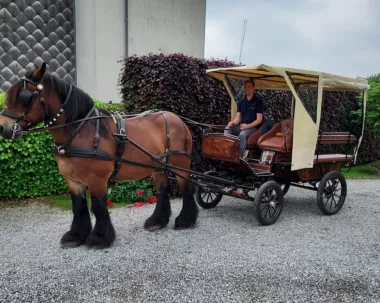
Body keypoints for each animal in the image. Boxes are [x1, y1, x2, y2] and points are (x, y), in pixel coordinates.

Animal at [1, 63, 199, 251]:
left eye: (24, 96)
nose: (3, 127)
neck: (81, 130)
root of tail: (177, 119)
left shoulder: (97, 179)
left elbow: (97, 206)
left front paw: (100, 238)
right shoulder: (73, 180)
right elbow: (78, 207)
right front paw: (75, 236)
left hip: (181, 163)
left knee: (186, 188)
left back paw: (185, 220)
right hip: (158, 166)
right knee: (162, 190)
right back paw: (157, 221)